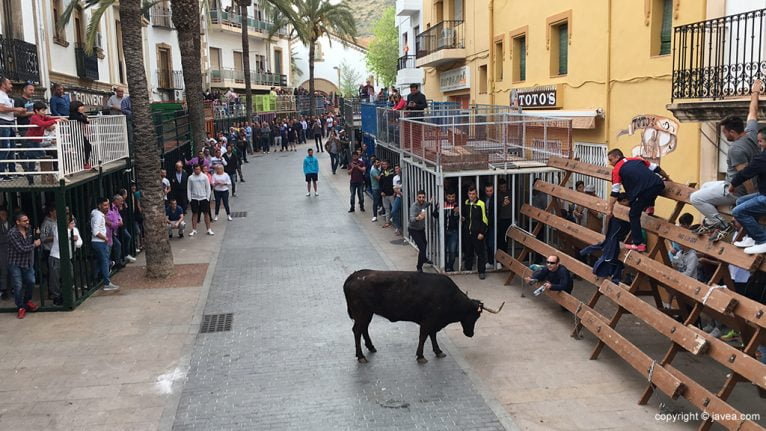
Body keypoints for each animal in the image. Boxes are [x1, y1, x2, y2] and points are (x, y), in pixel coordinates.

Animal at [344, 272, 504, 362]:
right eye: (474, 316)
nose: (470, 334)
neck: (450, 297)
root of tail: (353, 276)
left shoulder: (434, 322)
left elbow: (432, 335)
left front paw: (438, 351)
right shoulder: (429, 320)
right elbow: (424, 336)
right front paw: (420, 356)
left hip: (367, 313)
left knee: (363, 329)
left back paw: (371, 347)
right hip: (362, 312)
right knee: (357, 331)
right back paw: (361, 356)